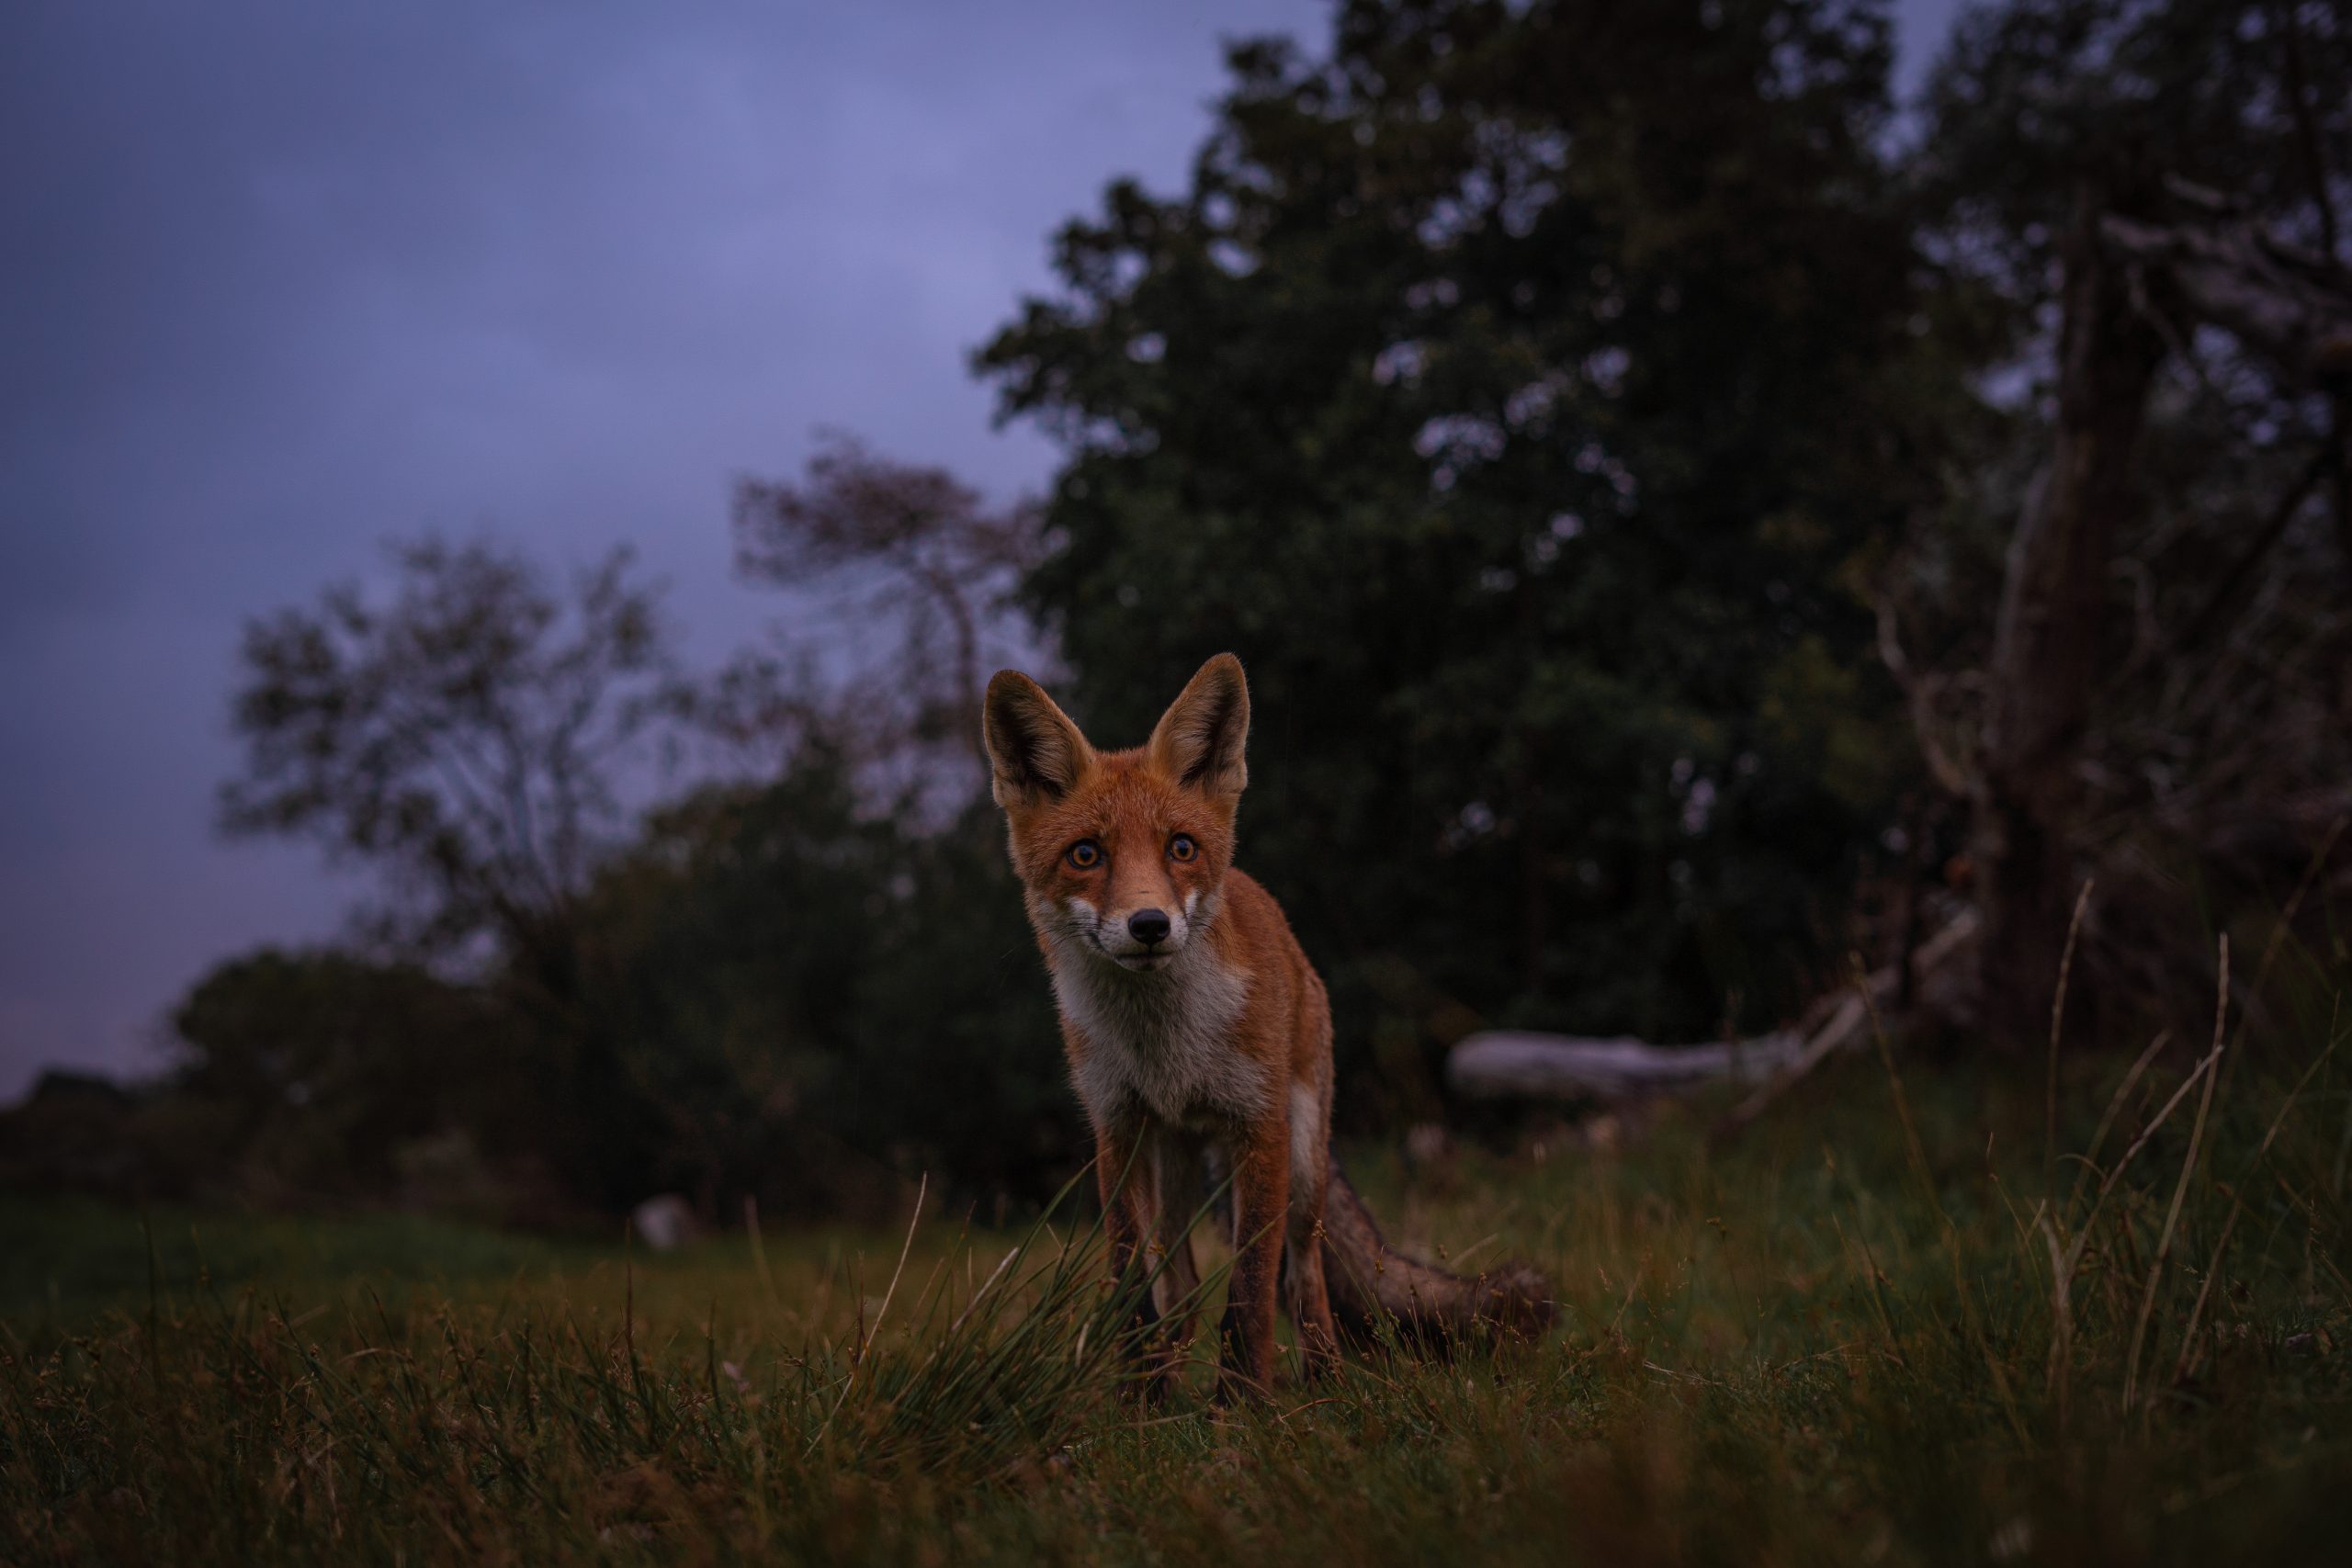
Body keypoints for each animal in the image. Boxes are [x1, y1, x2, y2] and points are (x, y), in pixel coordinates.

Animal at [983, 649, 1552, 1401]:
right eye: (1086, 854)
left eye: (1181, 847)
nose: (1149, 925)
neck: (1166, 1049)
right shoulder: (1118, 1130)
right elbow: (1132, 1289)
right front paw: (1140, 1404)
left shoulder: (1260, 1127)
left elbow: (1251, 1293)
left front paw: (1244, 1408)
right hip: (1177, 1166)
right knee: (1183, 1287)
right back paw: (1174, 1388)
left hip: (1304, 1159)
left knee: (1306, 1277)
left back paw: (1325, 1385)